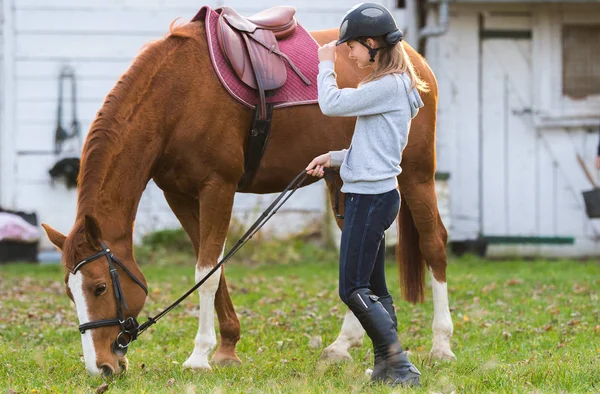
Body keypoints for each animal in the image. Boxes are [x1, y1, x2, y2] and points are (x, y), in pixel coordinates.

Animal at [42, 12, 454, 376]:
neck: (178, 94)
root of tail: (414, 60)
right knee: (365, 253)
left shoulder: (218, 187)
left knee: (434, 244)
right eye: (70, 293)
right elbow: (214, 268)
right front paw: (226, 349)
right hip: (342, 180)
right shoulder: (180, 195)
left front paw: (199, 356)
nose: (101, 367)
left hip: (416, 174)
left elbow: (206, 272)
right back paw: (342, 344)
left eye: (98, 288)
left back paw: (441, 345)